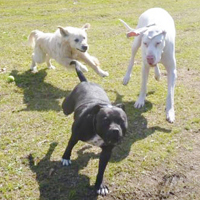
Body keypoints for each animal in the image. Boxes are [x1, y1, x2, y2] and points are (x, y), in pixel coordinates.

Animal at [61, 63, 128, 196]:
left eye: (122, 121)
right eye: (105, 120)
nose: (115, 130)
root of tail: (86, 82)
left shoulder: (106, 152)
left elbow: (101, 170)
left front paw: (99, 185)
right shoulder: (75, 136)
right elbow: (69, 146)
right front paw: (66, 158)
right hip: (66, 108)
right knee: (64, 107)